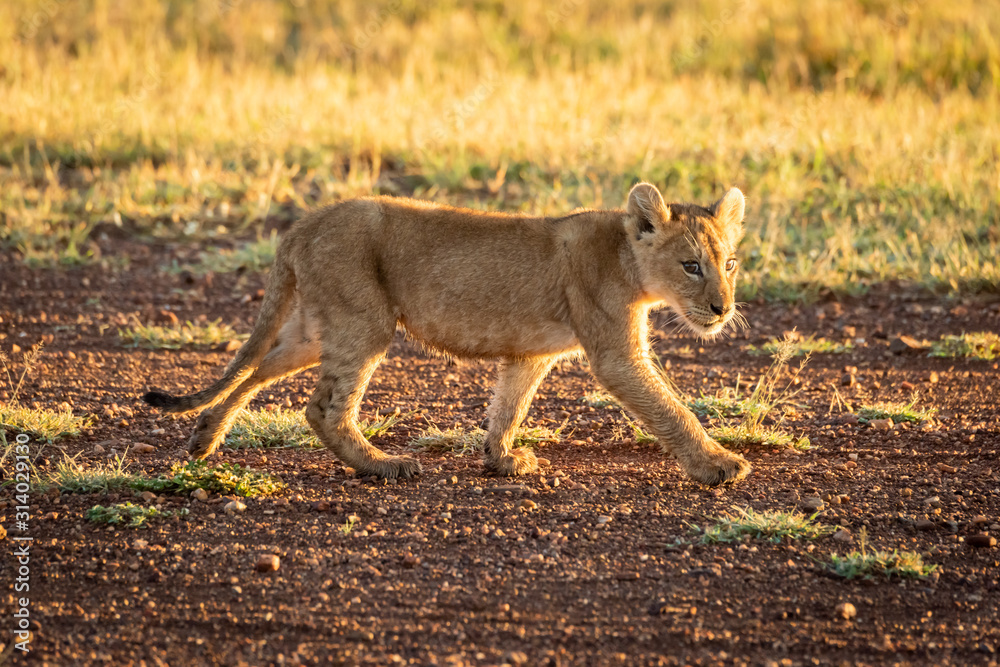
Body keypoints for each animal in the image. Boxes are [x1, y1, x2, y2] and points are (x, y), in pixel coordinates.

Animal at [143, 182, 751, 485]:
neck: (629, 260)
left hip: (316, 330)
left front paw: (501, 459)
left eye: (730, 263)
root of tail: (301, 225)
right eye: (691, 266)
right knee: (322, 408)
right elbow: (670, 408)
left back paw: (205, 437)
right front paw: (718, 465)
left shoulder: (531, 355)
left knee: (257, 366)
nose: (721, 310)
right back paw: (382, 465)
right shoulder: (616, 354)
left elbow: (510, 404)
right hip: (363, 320)